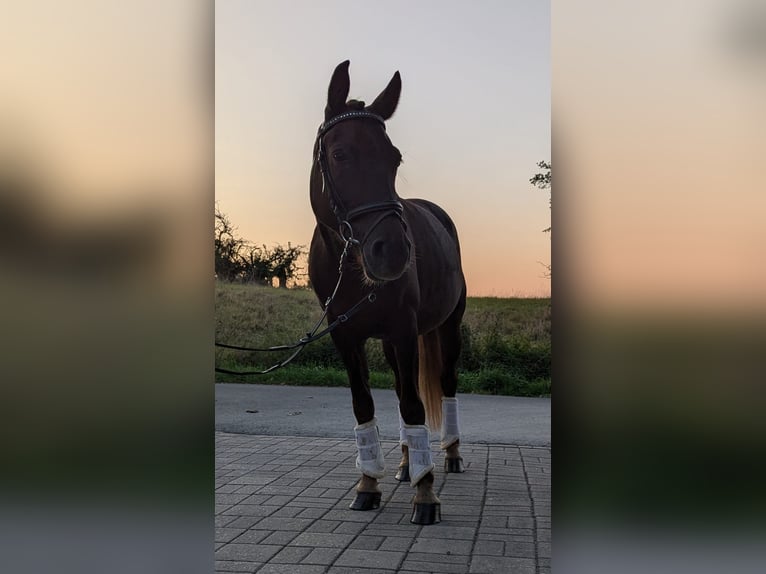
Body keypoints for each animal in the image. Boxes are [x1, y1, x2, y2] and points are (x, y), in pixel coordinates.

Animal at [308, 59, 468, 528]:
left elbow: (415, 407)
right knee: (399, 390)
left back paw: (448, 455)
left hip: (447, 328)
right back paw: (404, 464)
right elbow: (366, 405)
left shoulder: (402, 330)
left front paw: (426, 494)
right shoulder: (347, 337)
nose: (394, 252)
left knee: (445, 384)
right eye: (340, 154)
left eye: (394, 158)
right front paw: (368, 484)